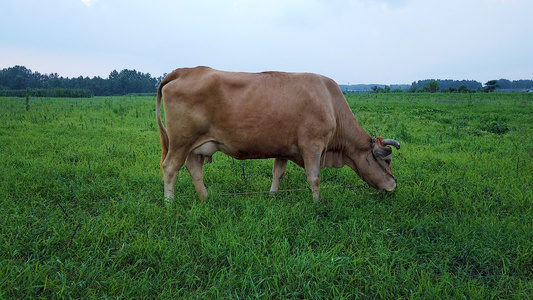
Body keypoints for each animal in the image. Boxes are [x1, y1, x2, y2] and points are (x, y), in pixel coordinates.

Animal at [157, 67, 400, 204]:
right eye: (387, 160)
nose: (393, 185)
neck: (330, 102)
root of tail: (185, 70)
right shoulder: (312, 146)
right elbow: (314, 177)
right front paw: (317, 203)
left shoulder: (284, 148)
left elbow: (278, 173)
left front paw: (273, 196)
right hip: (180, 142)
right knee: (170, 168)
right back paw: (169, 203)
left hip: (195, 146)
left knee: (194, 169)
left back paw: (205, 198)